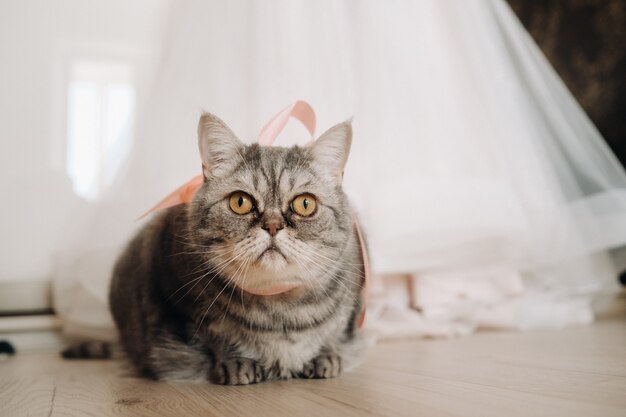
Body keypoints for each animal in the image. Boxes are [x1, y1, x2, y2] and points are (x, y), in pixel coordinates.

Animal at [62, 111, 366, 384]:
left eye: (305, 204)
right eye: (240, 202)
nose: (272, 225)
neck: (280, 310)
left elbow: (332, 332)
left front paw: (324, 355)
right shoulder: (174, 289)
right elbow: (217, 335)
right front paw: (237, 361)